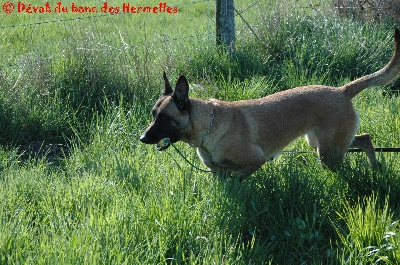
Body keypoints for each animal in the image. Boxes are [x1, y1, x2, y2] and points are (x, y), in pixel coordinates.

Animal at [140, 28, 400, 177]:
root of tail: (342, 90)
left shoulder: (252, 163)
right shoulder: (218, 174)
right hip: (322, 143)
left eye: (164, 118)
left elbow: (240, 179)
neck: (209, 127)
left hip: (328, 152)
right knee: (365, 139)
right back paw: (375, 168)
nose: (142, 138)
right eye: (153, 115)